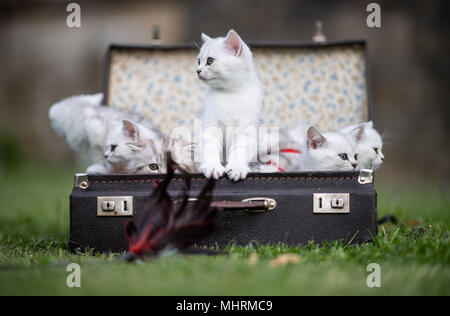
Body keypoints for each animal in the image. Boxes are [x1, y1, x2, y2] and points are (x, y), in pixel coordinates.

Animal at [196, 31, 262, 183]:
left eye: (210, 61)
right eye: (198, 61)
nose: (197, 70)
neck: (230, 93)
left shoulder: (245, 130)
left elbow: (240, 149)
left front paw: (237, 167)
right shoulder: (210, 126)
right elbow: (210, 147)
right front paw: (212, 166)